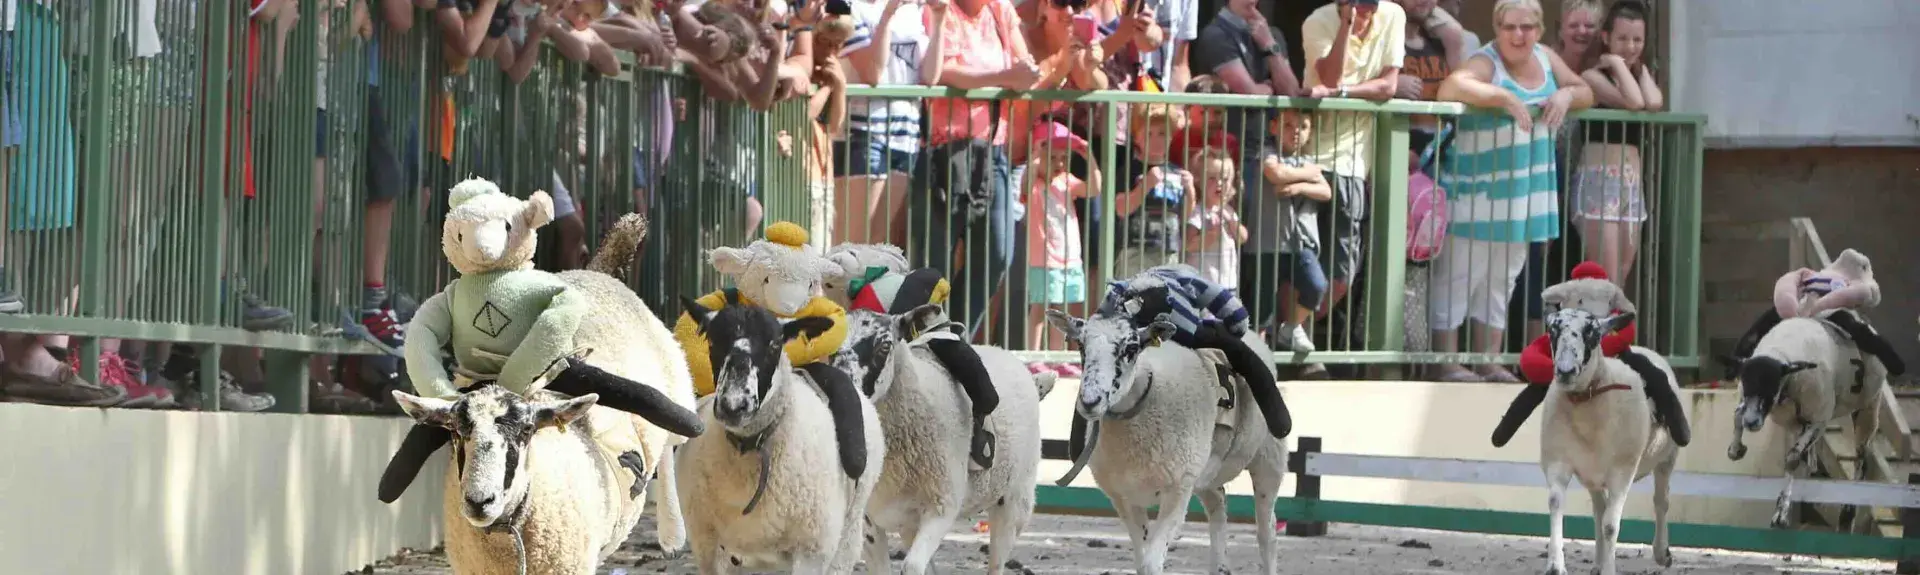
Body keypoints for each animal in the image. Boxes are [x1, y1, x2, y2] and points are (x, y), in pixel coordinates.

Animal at [675, 300, 883, 573]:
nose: (734, 405)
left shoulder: (812, 549)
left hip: (845, 538)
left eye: (775, 344)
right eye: (712, 341)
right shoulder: (706, 544)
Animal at [829, 303, 1059, 573]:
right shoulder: (868, 521)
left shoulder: (941, 507)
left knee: (997, 563)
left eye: (885, 346)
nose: (843, 389)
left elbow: (912, 566)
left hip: (1015, 501)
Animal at [1044, 311, 1282, 575]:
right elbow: (1142, 561)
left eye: (1132, 348)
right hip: (1205, 470)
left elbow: (1151, 564)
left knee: (1267, 532)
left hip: (1268, 457)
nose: (1089, 401)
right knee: (1218, 504)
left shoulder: (1176, 491)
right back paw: (1220, 567)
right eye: (1080, 345)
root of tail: (1252, 332)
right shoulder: (1124, 497)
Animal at [1528, 311, 1681, 575]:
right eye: (1552, 330)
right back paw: (1598, 563)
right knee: (1599, 510)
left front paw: (1610, 568)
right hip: (1593, 474)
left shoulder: (1622, 471)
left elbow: (1611, 525)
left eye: (1592, 332)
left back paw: (1662, 553)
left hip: (1666, 458)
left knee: (1661, 501)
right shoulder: (1558, 463)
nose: (1565, 371)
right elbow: (1557, 504)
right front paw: (1555, 565)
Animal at [1728, 315, 1889, 530]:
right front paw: (1735, 449)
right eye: (1746, 383)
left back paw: (1847, 514)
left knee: (1861, 459)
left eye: (1771, 386)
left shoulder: (1819, 420)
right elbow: (1737, 415)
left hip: (1868, 409)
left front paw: (1780, 515)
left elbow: (1792, 459)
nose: (1752, 422)